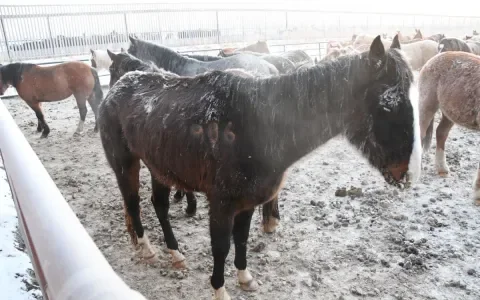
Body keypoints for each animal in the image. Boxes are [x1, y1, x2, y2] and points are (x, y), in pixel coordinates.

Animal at [96, 34, 420, 298]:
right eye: (388, 105)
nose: (407, 174)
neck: (258, 123)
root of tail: (116, 91)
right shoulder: (222, 202)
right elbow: (221, 246)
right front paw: (220, 290)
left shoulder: (248, 200)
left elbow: (241, 239)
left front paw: (245, 278)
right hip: (126, 163)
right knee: (134, 203)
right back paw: (147, 248)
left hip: (160, 167)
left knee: (160, 206)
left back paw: (175, 254)